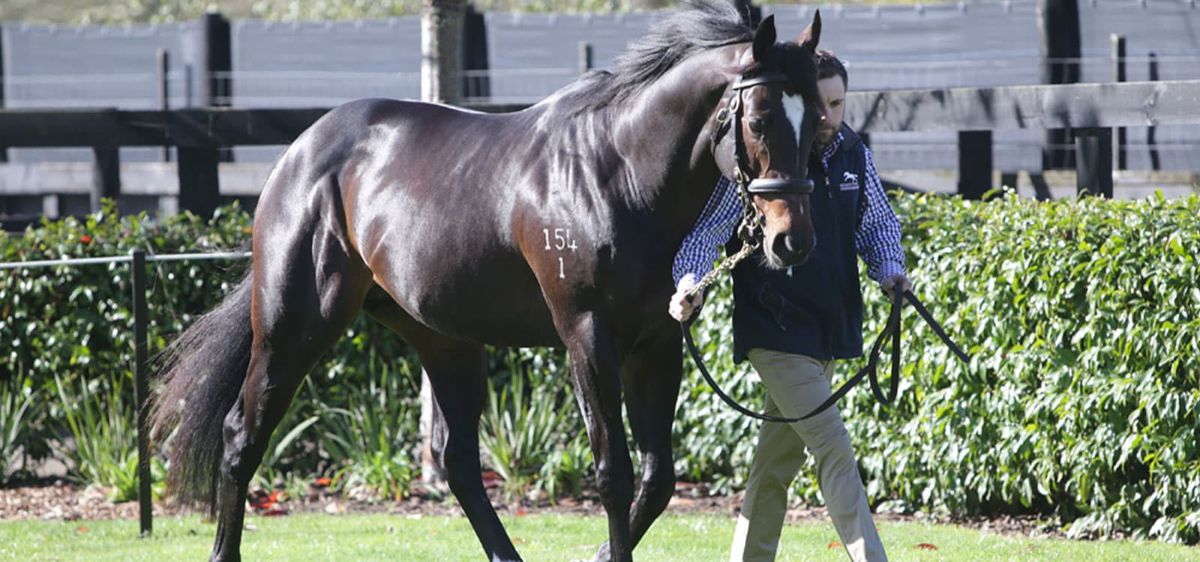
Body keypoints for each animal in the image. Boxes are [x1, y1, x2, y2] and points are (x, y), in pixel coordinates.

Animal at [149, 2, 826, 560]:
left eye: (817, 117)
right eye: (760, 119)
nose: (791, 241)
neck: (621, 175)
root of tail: (298, 153)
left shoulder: (656, 343)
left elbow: (658, 479)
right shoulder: (587, 337)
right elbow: (613, 474)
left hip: (446, 341)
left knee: (458, 463)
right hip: (294, 326)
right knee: (242, 436)